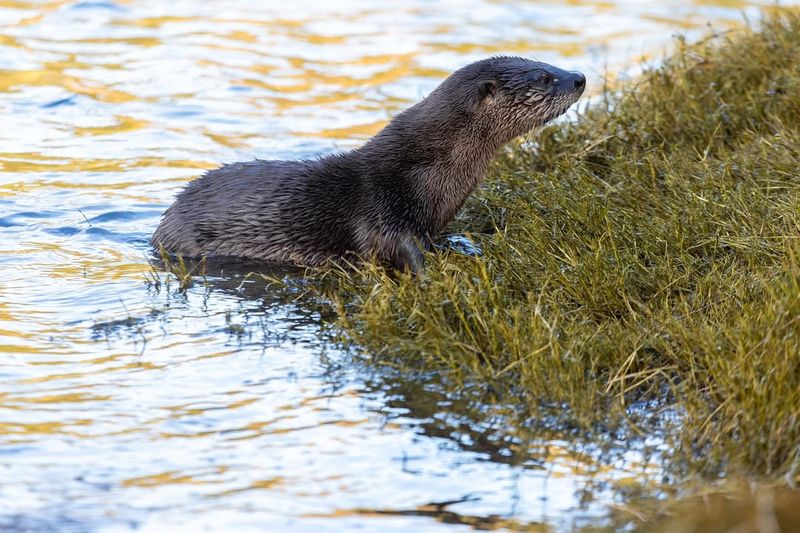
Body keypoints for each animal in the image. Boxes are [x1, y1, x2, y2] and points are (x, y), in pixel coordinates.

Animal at [152, 56, 585, 272]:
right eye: (544, 77)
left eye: (549, 64)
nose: (579, 77)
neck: (426, 174)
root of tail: (159, 229)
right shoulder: (382, 210)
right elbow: (402, 249)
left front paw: (463, 248)